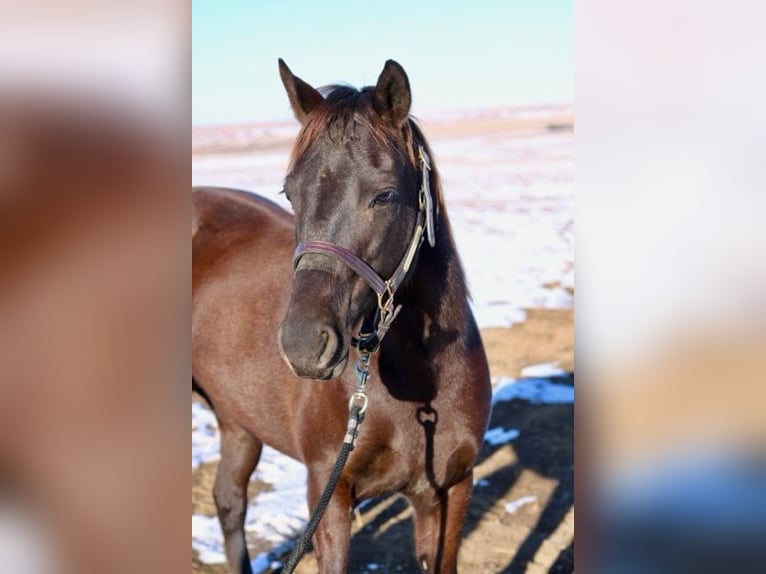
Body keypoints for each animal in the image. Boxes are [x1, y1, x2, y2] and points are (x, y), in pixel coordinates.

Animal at [192, 59, 492, 574]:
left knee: (229, 501)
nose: (302, 345)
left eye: (384, 195)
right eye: (290, 194)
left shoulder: (449, 491)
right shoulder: (328, 497)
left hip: (237, 422)